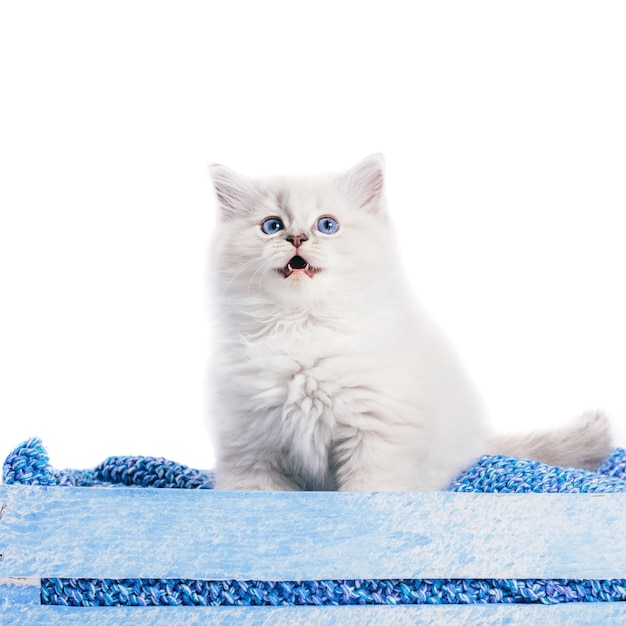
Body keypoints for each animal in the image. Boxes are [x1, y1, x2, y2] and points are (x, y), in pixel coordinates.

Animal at [207, 154, 608, 490]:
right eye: (272, 226)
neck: (302, 327)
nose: (296, 238)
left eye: (327, 225)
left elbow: (368, 494)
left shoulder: (376, 435)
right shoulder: (251, 448)